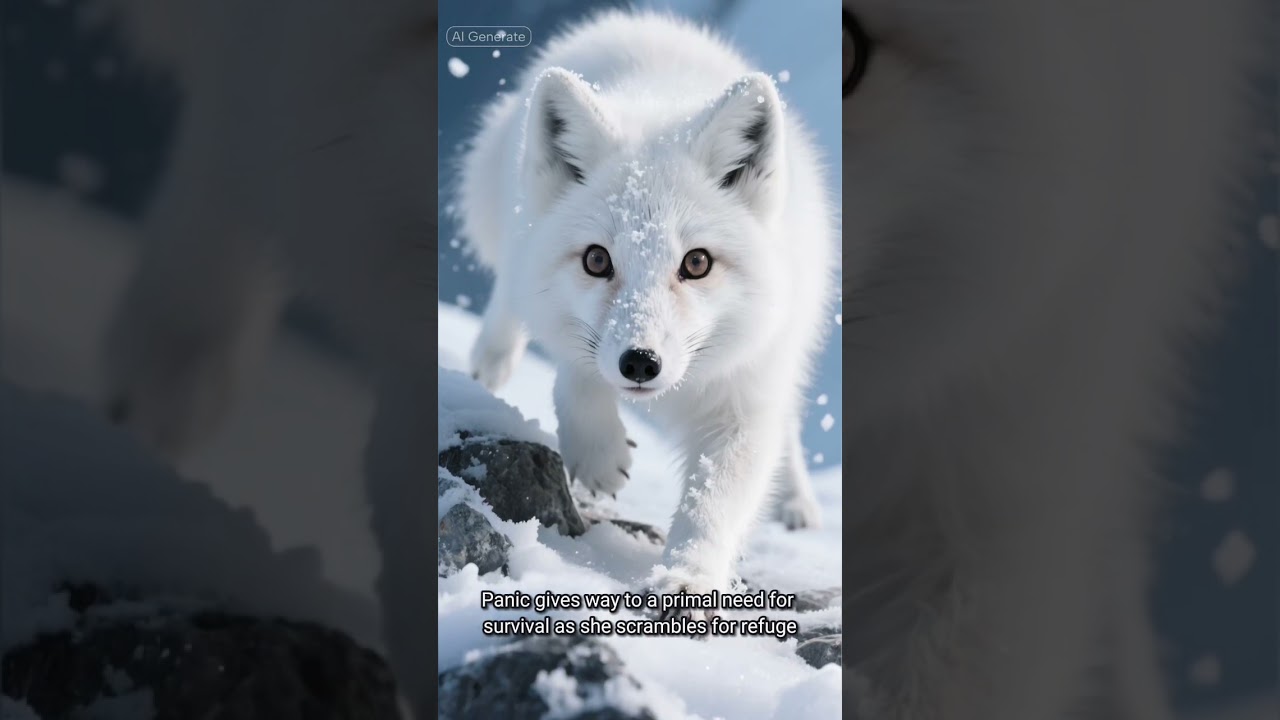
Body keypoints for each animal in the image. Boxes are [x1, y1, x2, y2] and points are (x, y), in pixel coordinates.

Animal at [457, 11, 838, 600]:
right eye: (596, 260)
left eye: (697, 263)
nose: (639, 363)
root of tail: (641, 18)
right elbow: (574, 363)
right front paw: (597, 450)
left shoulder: (743, 399)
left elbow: (713, 503)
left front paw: (687, 578)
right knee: (511, 287)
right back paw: (492, 358)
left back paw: (797, 500)